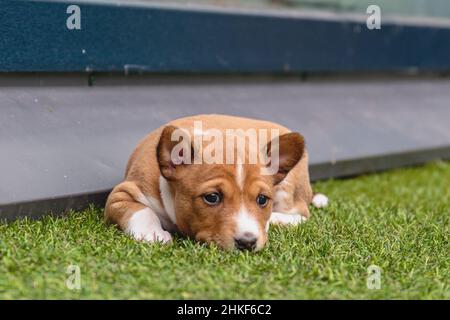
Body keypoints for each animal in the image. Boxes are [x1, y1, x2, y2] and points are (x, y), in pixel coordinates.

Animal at [105, 114, 326, 251]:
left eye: (262, 199)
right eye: (212, 197)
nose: (247, 242)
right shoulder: (121, 195)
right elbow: (142, 211)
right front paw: (152, 232)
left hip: (289, 190)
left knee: (301, 214)